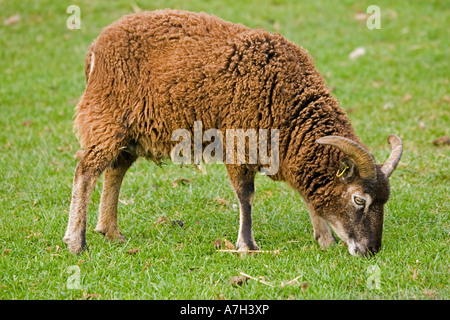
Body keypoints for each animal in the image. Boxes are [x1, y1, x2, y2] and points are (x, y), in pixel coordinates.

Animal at [61, 8, 402, 256]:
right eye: (359, 200)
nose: (372, 250)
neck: (290, 103)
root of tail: (96, 47)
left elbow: (308, 194)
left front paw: (325, 239)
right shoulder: (240, 144)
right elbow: (246, 195)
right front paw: (247, 246)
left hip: (130, 131)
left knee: (114, 171)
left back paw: (111, 232)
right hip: (105, 117)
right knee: (85, 171)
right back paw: (76, 242)